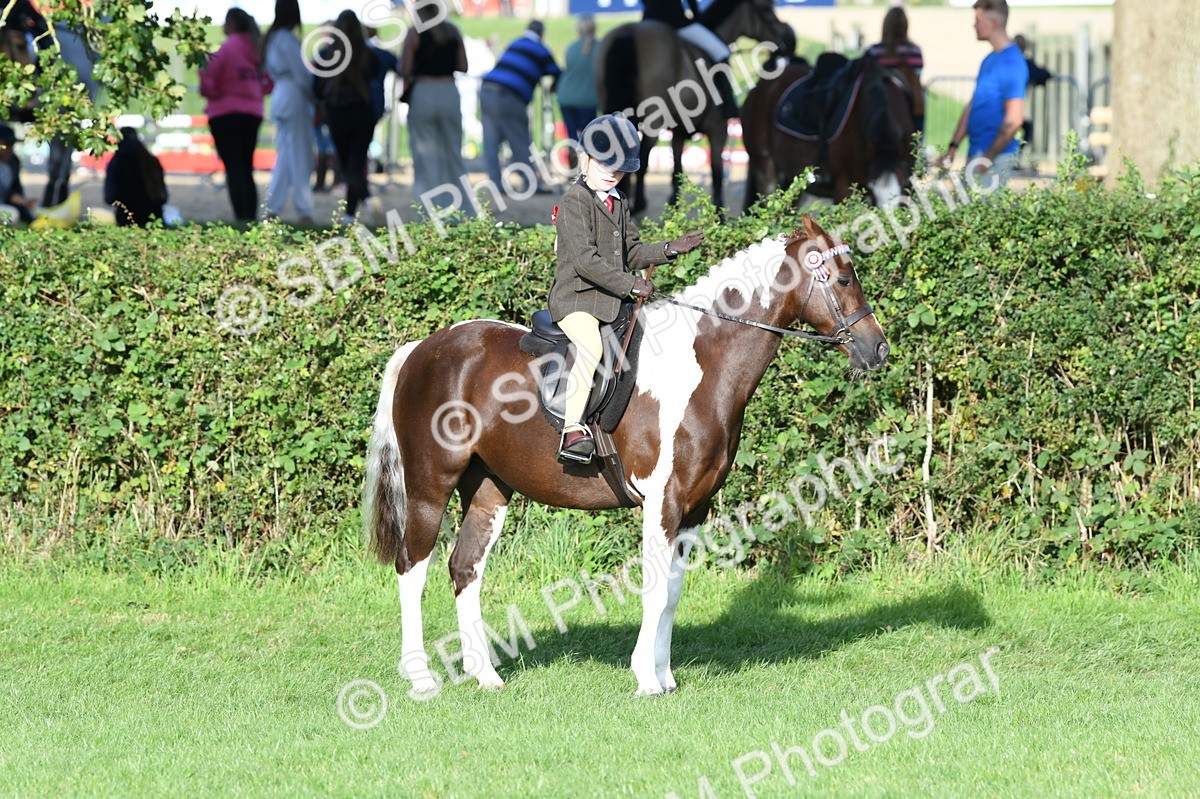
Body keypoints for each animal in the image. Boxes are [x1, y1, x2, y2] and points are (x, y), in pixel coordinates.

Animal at [362, 214, 889, 696]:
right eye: (843, 278)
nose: (878, 349)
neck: (702, 363)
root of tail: (420, 349)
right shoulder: (663, 500)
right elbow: (654, 591)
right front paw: (645, 679)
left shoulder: (694, 508)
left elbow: (672, 593)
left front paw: (665, 675)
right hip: (430, 485)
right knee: (412, 568)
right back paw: (421, 678)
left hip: (488, 488)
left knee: (465, 566)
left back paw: (486, 675)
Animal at [595, 0, 795, 215]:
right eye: (766, 8)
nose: (789, 39)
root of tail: (628, 33)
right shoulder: (718, 130)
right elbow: (716, 174)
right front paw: (719, 214)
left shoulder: (678, 134)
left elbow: (677, 172)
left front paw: (675, 210)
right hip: (653, 121)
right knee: (642, 159)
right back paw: (639, 204)